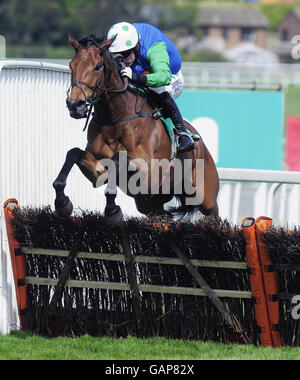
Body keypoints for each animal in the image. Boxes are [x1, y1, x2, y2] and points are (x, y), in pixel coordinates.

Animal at [52, 34, 219, 224]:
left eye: (97, 66)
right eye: (71, 65)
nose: (75, 105)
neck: (115, 118)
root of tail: (201, 144)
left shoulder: (148, 170)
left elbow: (118, 158)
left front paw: (112, 211)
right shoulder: (99, 172)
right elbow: (73, 153)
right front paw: (62, 203)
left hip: (205, 197)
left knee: (215, 215)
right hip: (149, 203)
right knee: (164, 216)